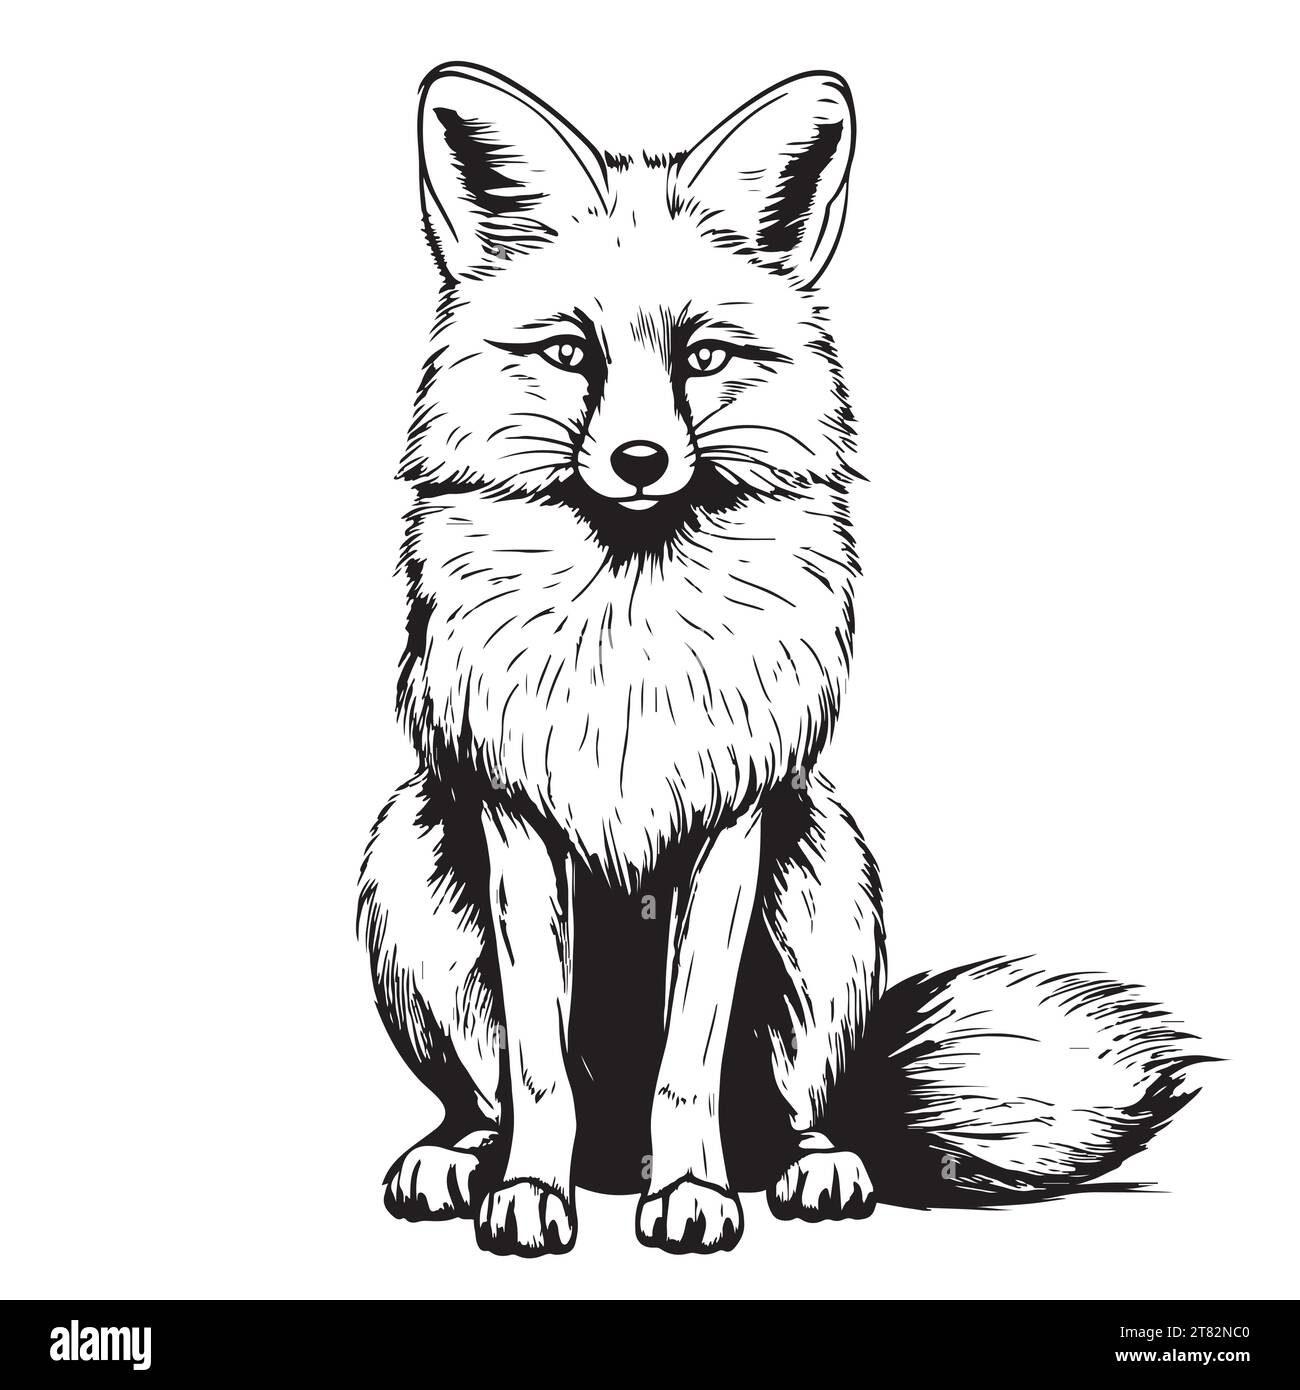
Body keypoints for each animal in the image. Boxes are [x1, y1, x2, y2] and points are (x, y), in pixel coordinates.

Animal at [357, 62, 1204, 1256]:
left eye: (703, 355)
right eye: (571, 353)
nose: (639, 460)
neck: (631, 650)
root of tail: (610, 1161)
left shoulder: (733, 819)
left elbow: (689, 1061)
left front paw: (692, 1192)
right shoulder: (514, 817)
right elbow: (538, 1069)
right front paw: (528, 1190)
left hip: (828, 876)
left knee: (794, 1111)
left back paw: (808, 1166)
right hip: (410, 858)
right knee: (486, 1094)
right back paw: (465, 1159)